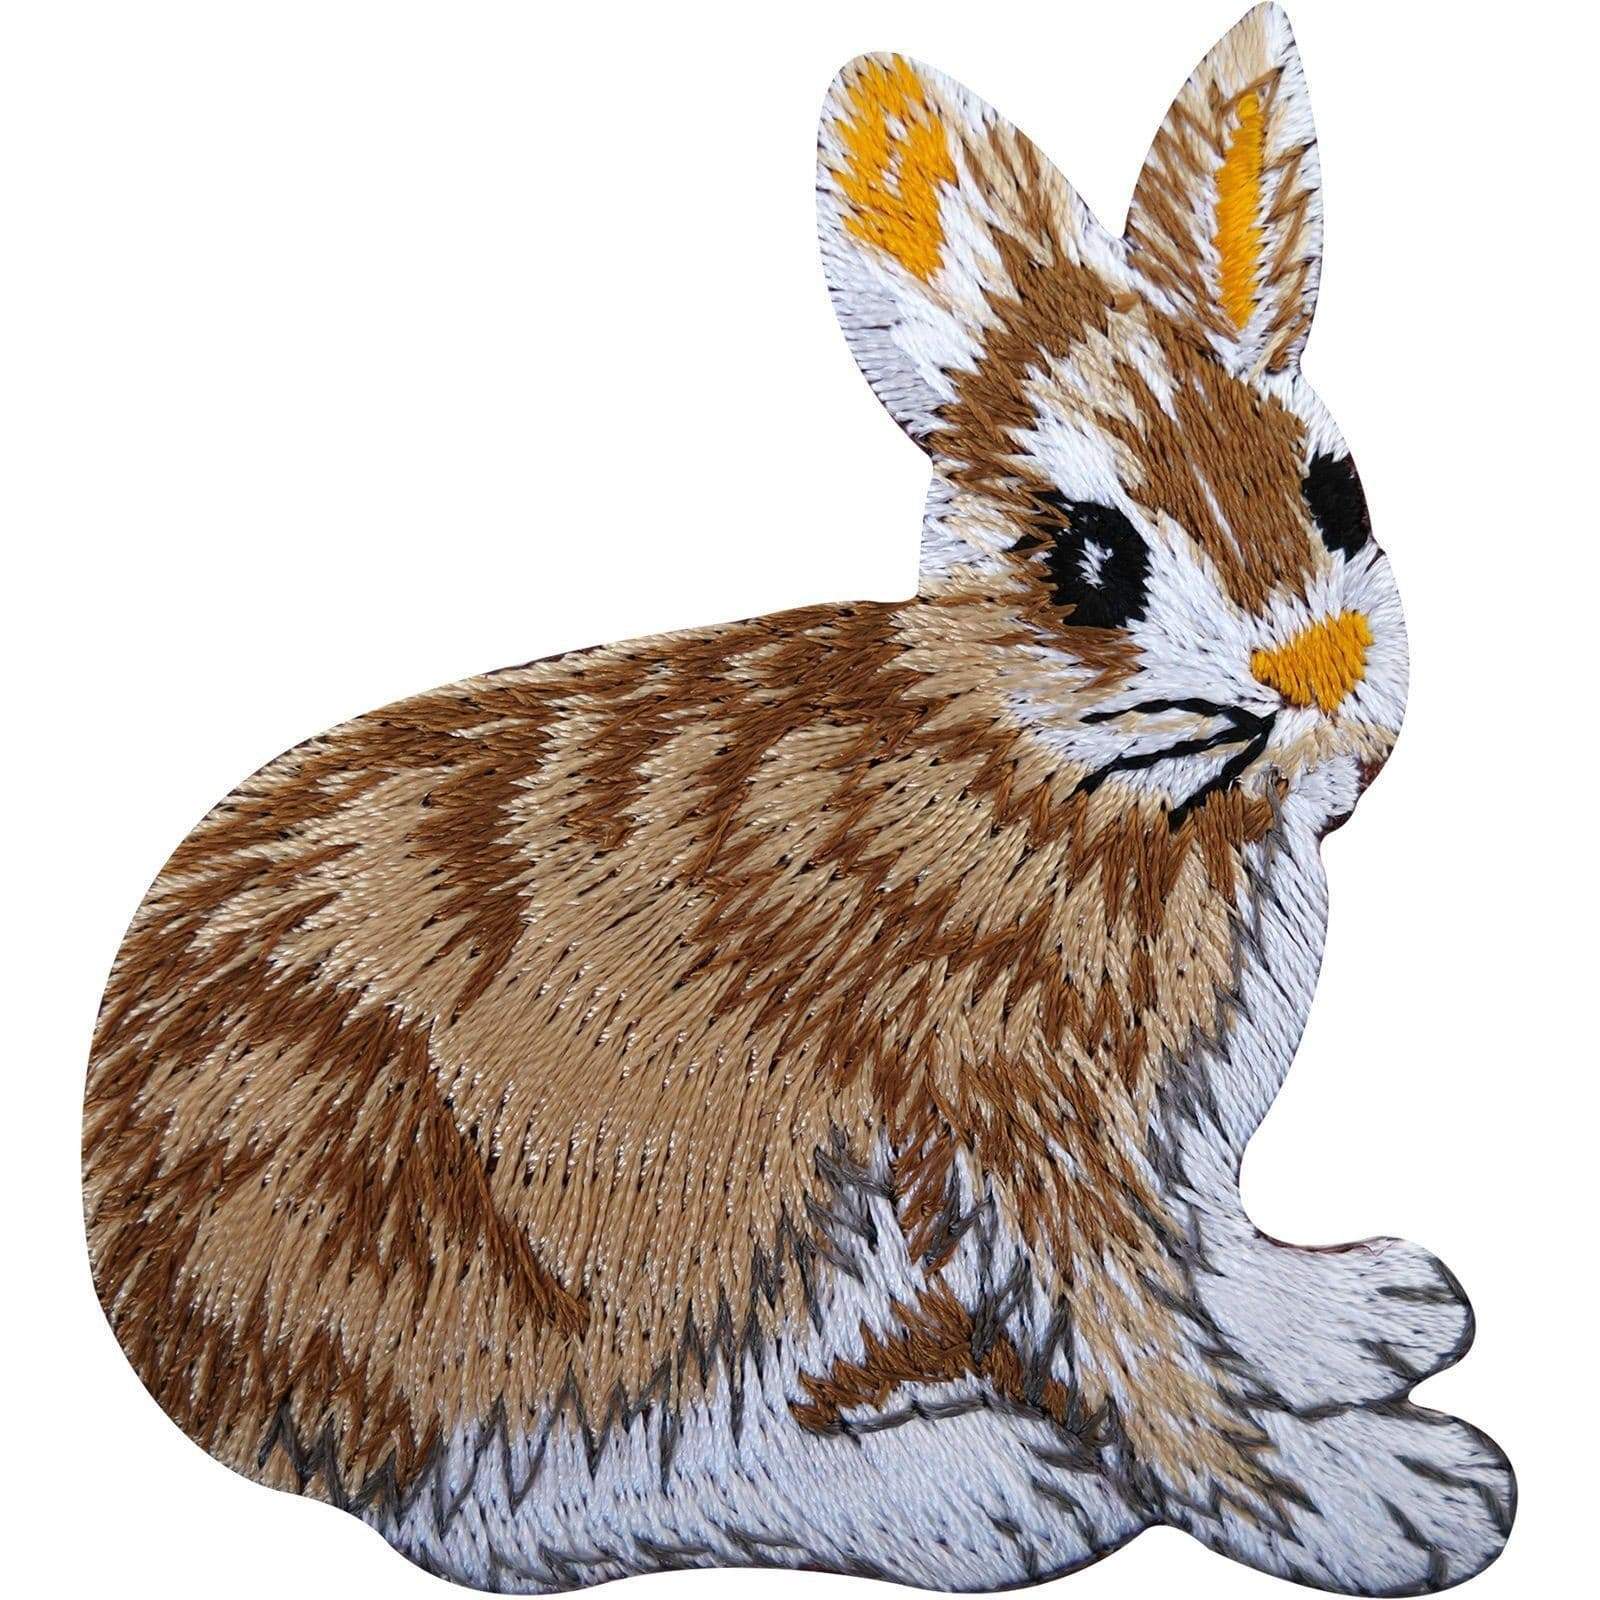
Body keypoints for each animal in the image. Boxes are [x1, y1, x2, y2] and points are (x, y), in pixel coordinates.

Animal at [83, 6, 1513, 1594]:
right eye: (1089, 560)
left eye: (1340, 492)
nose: (1317, 677)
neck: (1057, 766)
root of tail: (164, 1326)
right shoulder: (1016, 1119)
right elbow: (1145, 1351)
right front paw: (1385, 1500)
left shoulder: (1167, 1154)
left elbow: (1213, 1271)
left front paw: (1363, 1314)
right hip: (647, 1258)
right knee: (550, 1497)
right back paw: (988, 1492)